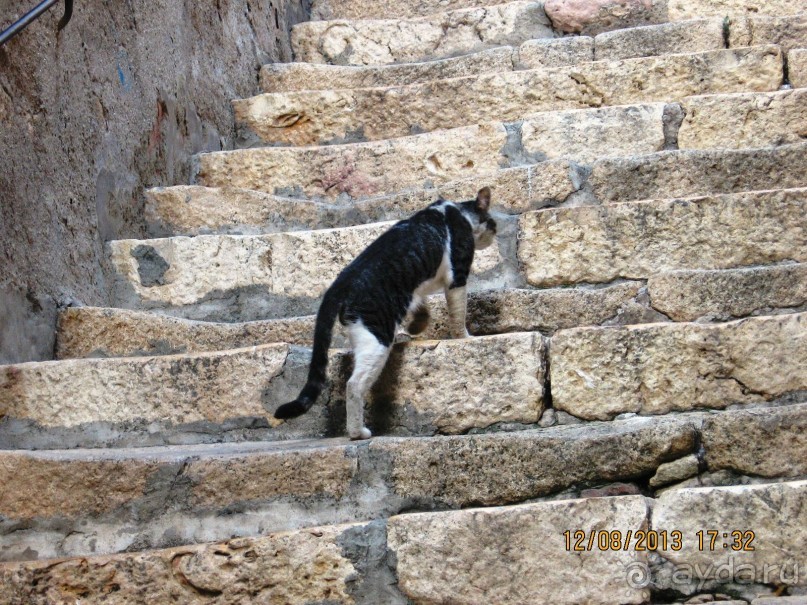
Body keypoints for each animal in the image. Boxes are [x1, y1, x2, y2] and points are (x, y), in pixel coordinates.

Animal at [274, 188, 496, 438]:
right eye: (492, 222)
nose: (495, 232)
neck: (457, 211)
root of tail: (339, 285)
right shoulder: (457, 275)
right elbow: (458, 313)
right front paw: (464, 337)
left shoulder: (415, 285)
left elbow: (421, 305)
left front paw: (417, 325)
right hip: (377, 339)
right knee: (354, 385)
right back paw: (358, 432)